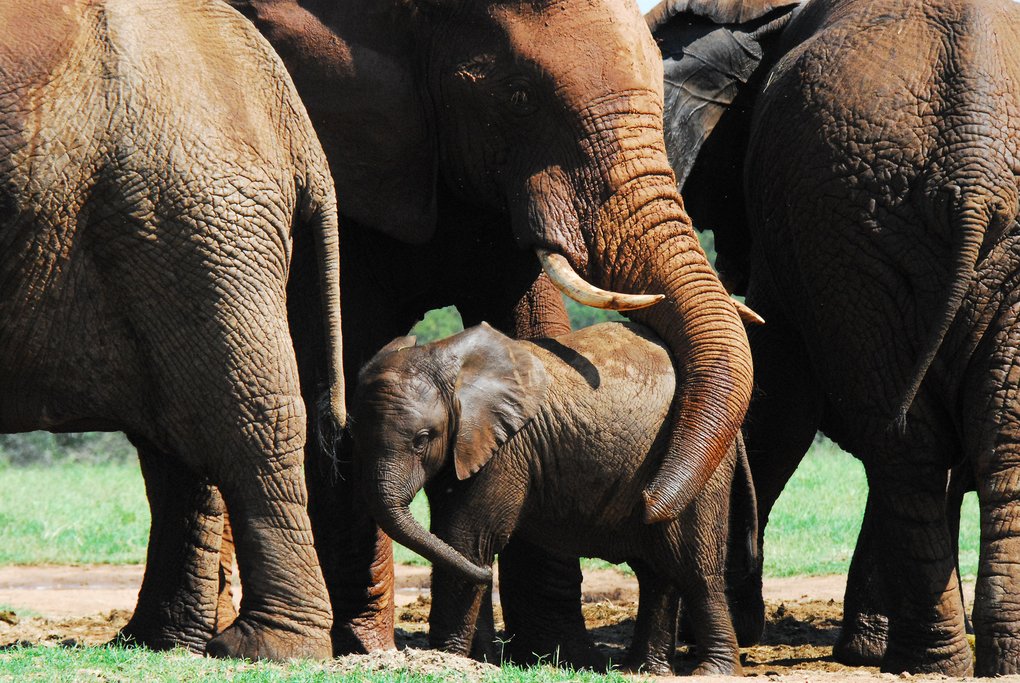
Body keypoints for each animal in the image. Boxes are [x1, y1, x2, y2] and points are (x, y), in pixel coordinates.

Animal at [352, 322, 756, 676]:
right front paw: (478, 661)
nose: (491, 575)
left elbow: (466, 539)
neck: (447, 362)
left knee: (694, 565)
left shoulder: (506, 448)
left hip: (701, 470)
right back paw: (642, 670)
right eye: (354, 436)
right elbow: (454, 544)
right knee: (655, 571)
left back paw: (714, 671)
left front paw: (445, 660)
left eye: (422, 439)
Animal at [650, 0, 1020, 675]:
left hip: (846, 214)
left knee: (916, 442)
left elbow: (779, 398)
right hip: (857, 220)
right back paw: (959, 659)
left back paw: (928, 659)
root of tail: (975, 168)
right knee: (955, 437)